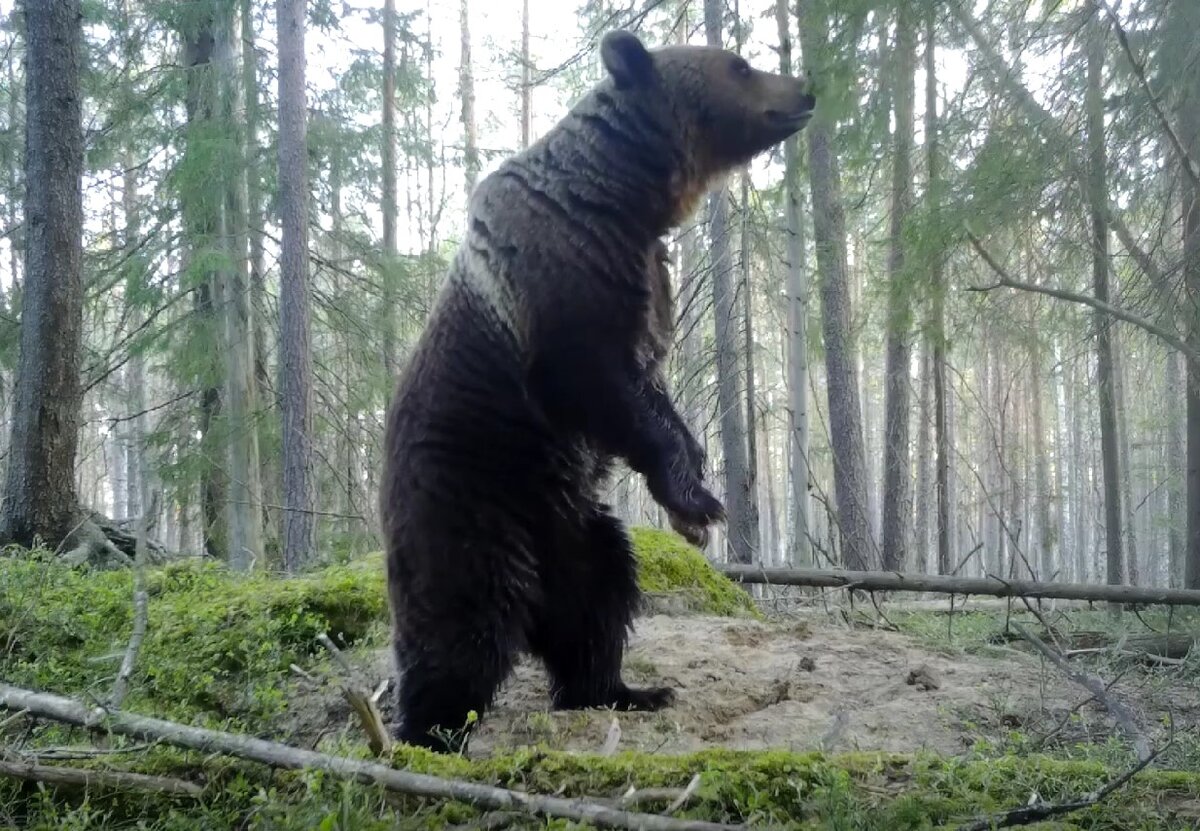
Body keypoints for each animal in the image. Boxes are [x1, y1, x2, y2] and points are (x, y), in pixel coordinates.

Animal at [381, 29, 816, 749]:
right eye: (740, 65)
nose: (805, 88)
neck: (620, 196)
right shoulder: (562, 279)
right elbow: (600, 384)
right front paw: (699, 503)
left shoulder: (641, 282)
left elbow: (654, 396)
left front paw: (696, 488)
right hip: (467, 502)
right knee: (462, 623)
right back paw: (430, 731)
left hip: (575, 528)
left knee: (598, 601)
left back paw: (624, 688)